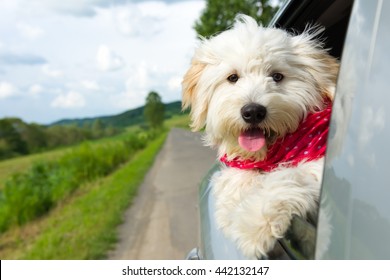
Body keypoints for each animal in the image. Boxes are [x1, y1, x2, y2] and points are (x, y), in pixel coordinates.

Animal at [183, 15, 338, 258]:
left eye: (277, 76)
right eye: (233, 77)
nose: (253, 111)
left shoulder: (320, 162)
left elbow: (287, 176)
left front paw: (254, 225)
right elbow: (234, 179)